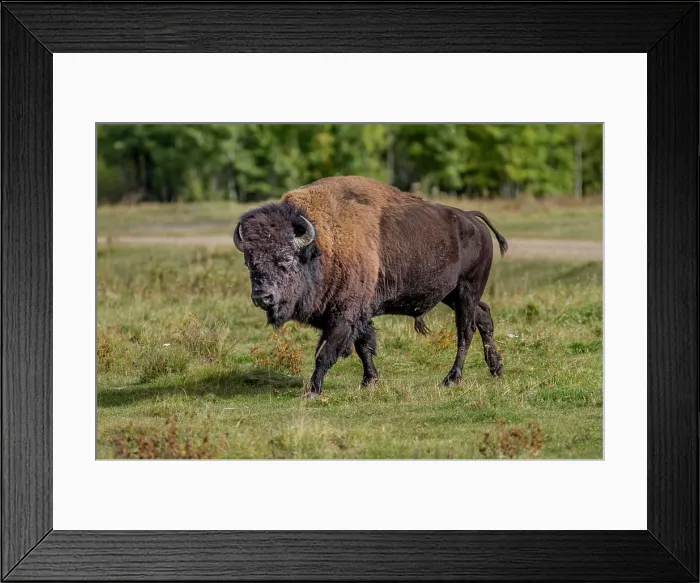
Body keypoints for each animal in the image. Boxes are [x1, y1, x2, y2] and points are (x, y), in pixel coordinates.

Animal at [233, 176, 507, 397]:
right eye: (248, 261)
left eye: (287, 257)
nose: (262, 296)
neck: (322, 246)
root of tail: (472, 219)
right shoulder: (359, 314)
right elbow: (363, 346)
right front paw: (369, 381)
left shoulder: (345, 315)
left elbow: (326, 352)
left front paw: (313, 391)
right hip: (451, 294)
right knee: (484, 317)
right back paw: (496, 368)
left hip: (467, 290)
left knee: (465, 330)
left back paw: (451, 379)